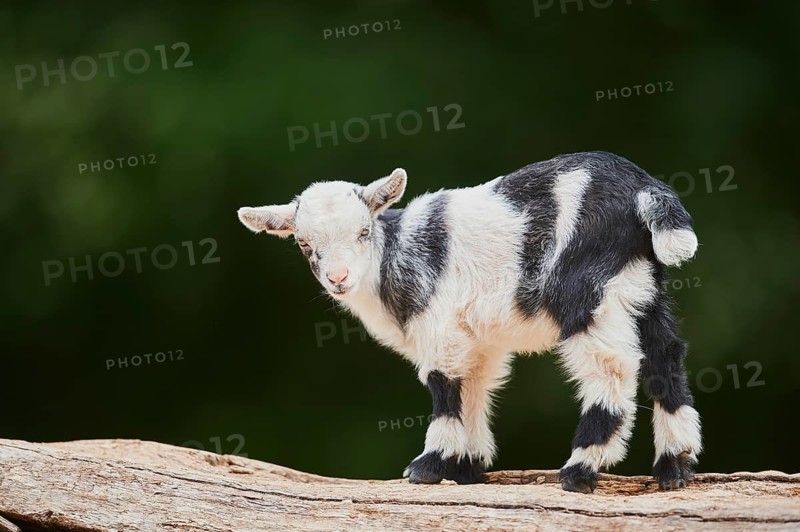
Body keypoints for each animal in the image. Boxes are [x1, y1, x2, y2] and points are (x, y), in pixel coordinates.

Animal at [237, 151, 701, 492]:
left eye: (363, 232)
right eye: (303, 243)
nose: (338, 279)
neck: (396, 257)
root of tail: (643, 190)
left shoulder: (439, 327)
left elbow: (444, 387)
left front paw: (429, 466)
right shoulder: (479, 340)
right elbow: (474, 390)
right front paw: (466, 467)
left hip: (585, 291)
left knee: (613, 367)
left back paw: (580, 468)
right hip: (640, 283)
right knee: (665, 354)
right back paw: (674, 465)